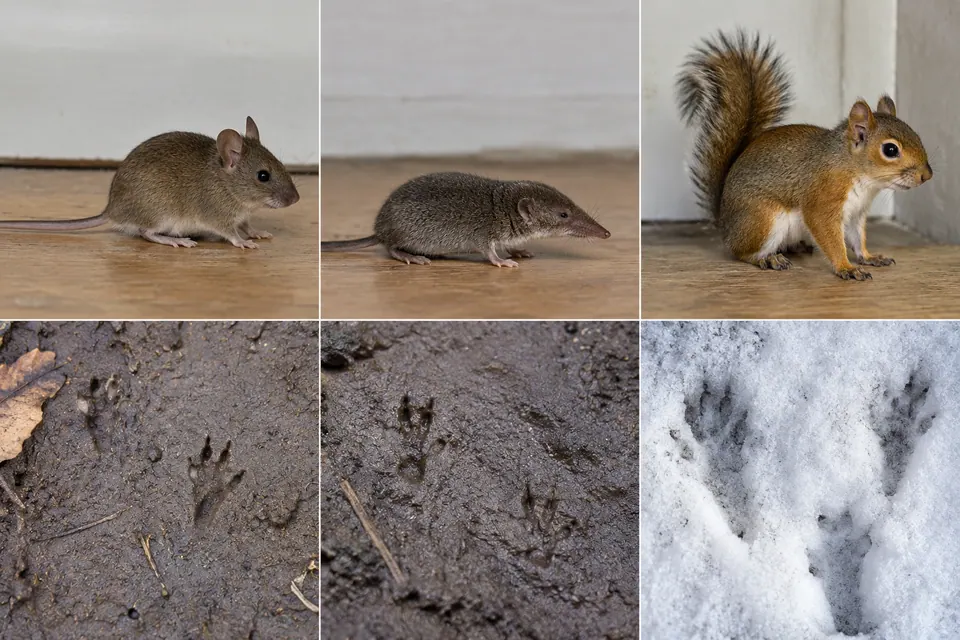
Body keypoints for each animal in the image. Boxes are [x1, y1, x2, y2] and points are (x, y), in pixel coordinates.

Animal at [675, 30, 933, 280]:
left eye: (916, 134)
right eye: (890, 150)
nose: (927, 176)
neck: (856, 171)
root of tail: (724, 223)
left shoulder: (856, 214)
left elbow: (857, 238)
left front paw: (870, 257)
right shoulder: (823, 199)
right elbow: (830, 237)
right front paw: (846, 267)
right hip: (762, 219)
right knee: (741, 252)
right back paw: (768, 259)